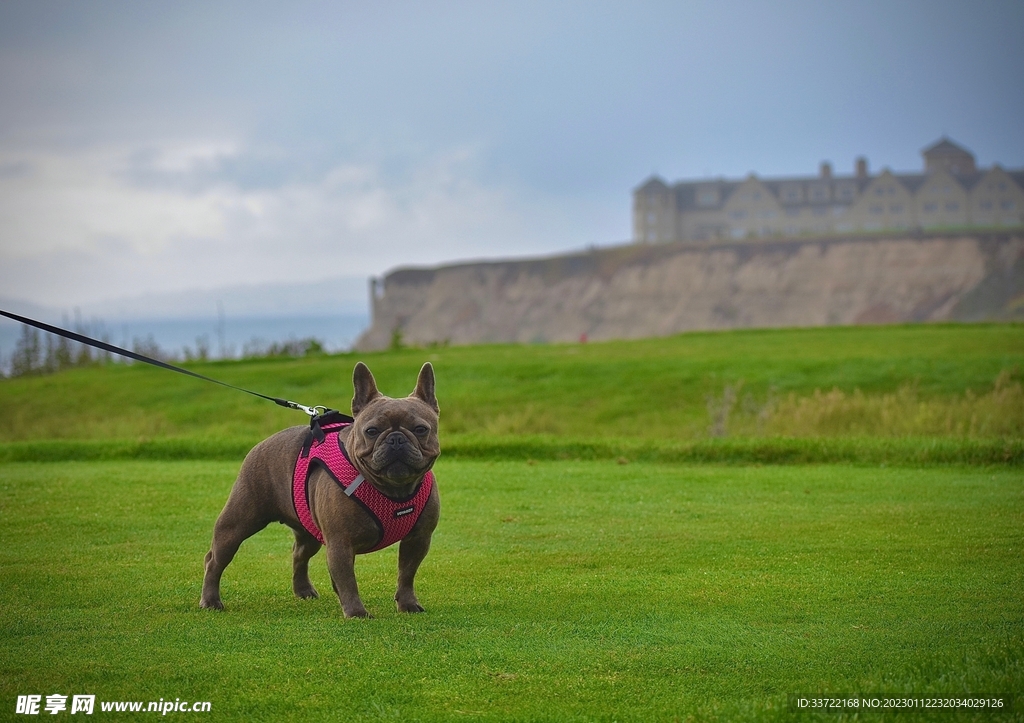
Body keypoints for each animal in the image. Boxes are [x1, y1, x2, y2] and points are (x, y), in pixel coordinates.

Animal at [199, 362, 440, 618]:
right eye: (372, 431)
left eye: (421, 429)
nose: (396, 439)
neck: (393, 489)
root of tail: (262, 444)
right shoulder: (340, 543)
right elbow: (348, 579)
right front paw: (356, 612)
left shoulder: (418, 539)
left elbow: (407, 574)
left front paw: (407, 604)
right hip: (237, 522)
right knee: (215, 559)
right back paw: (211, 600)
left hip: (309, 532)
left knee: (299, 553)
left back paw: (303, 590)